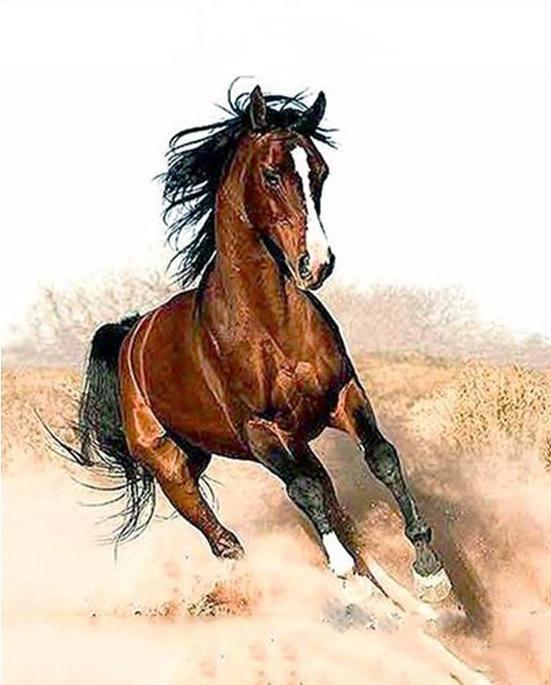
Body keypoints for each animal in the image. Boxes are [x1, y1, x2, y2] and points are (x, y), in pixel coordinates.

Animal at [63, 85, 451, 603]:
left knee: (327, 496)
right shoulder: (259, 431)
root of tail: (131, 335)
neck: (272, 326)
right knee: (224, 538)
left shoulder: (342, 396)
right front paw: (346, 574)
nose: (317, 264)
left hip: (281, 443)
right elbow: (304, 491)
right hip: (172, 466)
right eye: (272, 174)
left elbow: (382, 458)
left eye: (320, 172)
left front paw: (429, 571)